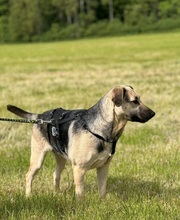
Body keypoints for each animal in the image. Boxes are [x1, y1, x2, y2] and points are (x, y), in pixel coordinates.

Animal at [7, 85, 155, 199]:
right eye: (135, 101)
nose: (153, 113)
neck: (100, 130)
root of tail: (40, 117)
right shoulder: (79, 169)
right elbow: (81, 194)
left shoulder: (103, 168)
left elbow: (102, 190)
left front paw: (102, 204)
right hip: (38, 158)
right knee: (28, 176)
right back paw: (28, 196)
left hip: (61, 158)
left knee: (55, 174)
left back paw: (56, 194)